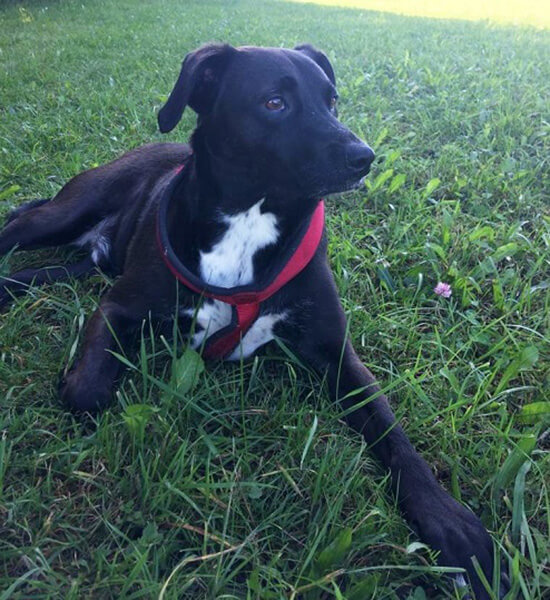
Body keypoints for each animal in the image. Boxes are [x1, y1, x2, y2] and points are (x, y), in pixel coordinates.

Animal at [0, 43, 506, 598]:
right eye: (273, 102)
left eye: (331, 99)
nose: (364, 157)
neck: (249, 218)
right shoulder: (119, 306)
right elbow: (86, 392)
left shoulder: (337, 354)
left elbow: (392, 434)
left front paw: (450, 525)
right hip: (64, 214)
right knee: (16, 228)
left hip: (84, 264)